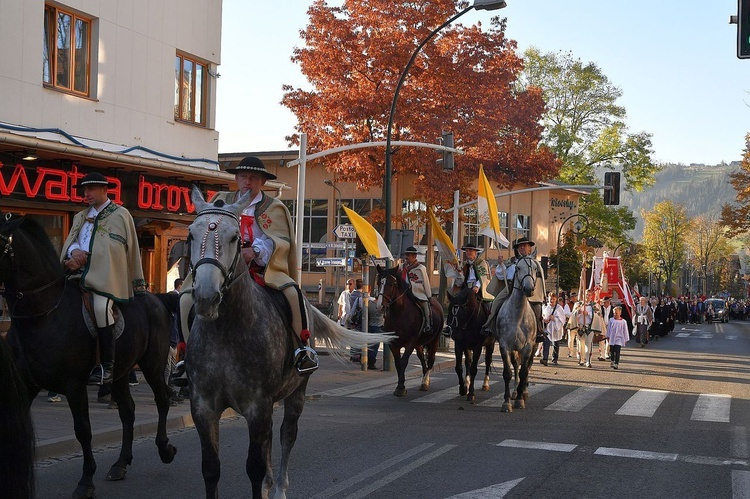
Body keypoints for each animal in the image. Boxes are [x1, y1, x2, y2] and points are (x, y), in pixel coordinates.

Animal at [187, 188, 394, 499]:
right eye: (191, 234)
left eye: (235, 238)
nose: (206, 297)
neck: (227, 331)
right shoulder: (203, 406)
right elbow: (211, 469)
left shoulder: (257, 405)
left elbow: (255, 467)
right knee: (271, 438)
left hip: (297, 392)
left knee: (286, 435)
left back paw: (279, 487)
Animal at [496, 254, 536, 414]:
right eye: (518, 268)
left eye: (535, 268)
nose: (529, 288)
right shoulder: (505, 346)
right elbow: (508, 372)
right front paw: (507, 402)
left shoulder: (527, 347)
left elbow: (524, 371)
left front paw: (520, 400)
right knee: (516, 365)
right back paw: (514, 392)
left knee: (526, 367)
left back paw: (522, 392)